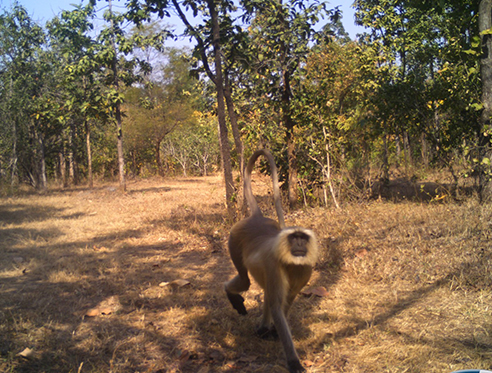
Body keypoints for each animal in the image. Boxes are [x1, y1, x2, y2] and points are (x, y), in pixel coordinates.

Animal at [224, 148, 318, 372]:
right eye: (294, 237)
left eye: (303, 238)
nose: (299, 244)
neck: (292, 264)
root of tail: (256, 218)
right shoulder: (274, 264)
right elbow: (277, 305)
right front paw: (294, 361)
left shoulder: (305, 269)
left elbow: (287, 300)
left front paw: (273, 331)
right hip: (234, 239)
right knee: (245, 281)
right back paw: (231, 294)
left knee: (265, 290)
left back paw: (264, 329)